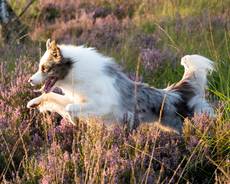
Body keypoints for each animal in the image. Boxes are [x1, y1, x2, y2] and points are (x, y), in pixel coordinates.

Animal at [27, 39, 214, 132]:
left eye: (44, 68)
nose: (29, 80)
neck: (76, 72)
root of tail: (175, 94)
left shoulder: (103, 105)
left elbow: (69, 108)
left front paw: (73, 120)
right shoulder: (79, 99)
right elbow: (52, 96)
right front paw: (34, 102)